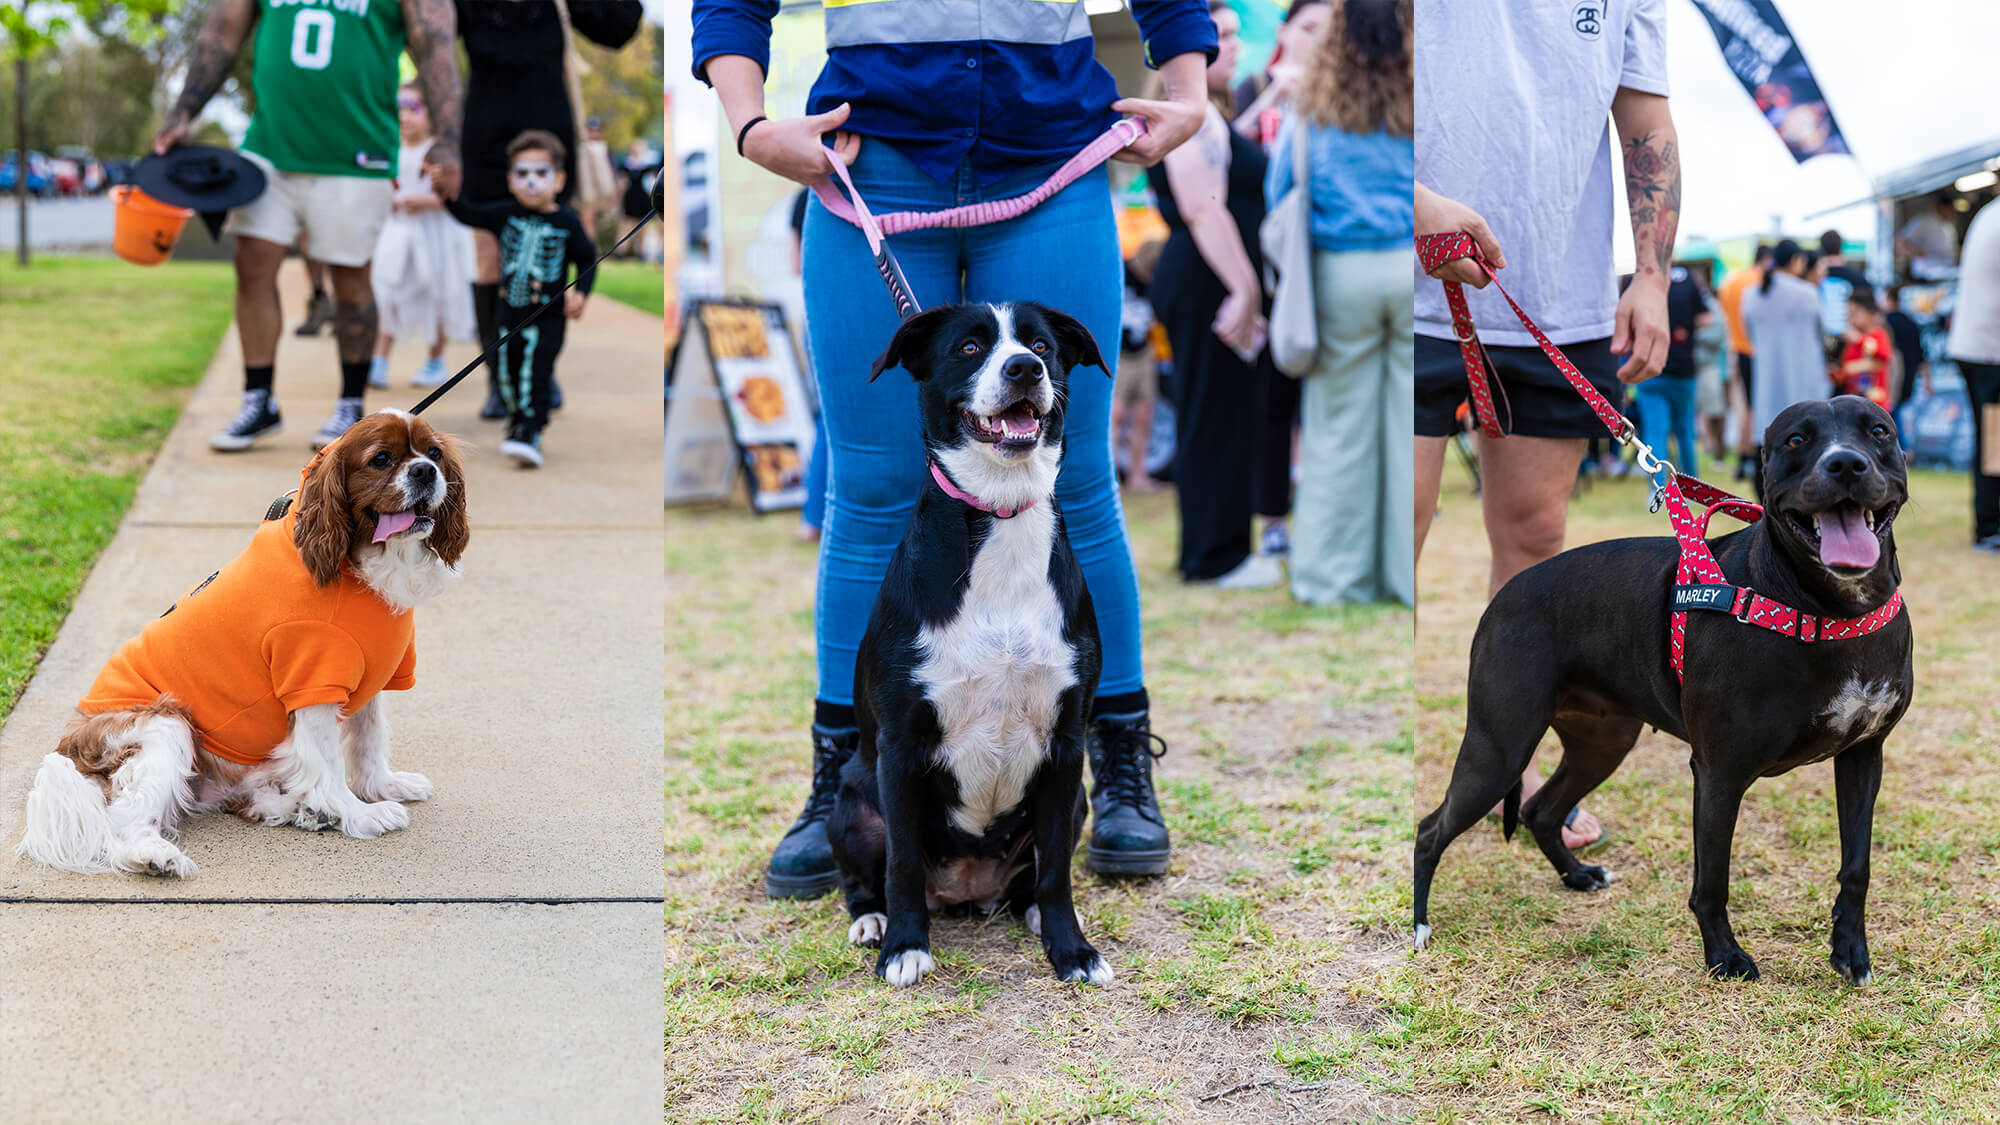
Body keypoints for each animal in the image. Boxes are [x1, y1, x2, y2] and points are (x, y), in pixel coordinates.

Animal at [824, 298, 1120, 980]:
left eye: (1042, 344)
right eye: (968, 348)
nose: (1024, 369)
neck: (998, 514)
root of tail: (964, 890)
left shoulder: (1066, 746)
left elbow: (1057, 870)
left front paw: (1071, 949)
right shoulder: (901, 748)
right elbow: (902, 862)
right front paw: (905, 946)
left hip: (1079, 799)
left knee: (1032, 876)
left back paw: (1027, 909)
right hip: (851, 800)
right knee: (868, 875)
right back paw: (872, 920)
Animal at [1416, 396, 1912, 980]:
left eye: (1877, 431)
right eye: (1796, 440)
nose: (1846, 465)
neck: (1828, 608)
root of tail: (1504, 595)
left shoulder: (1863, 756)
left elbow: (1857, 866)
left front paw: (1849, 950)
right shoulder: (1719, 773)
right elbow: (1712, 881)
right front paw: (1724, 956)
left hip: (1602, 743)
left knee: (1540, 810)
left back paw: (1577, 875)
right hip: (1499, 749)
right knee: (1430, 830)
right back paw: (1420, 926)